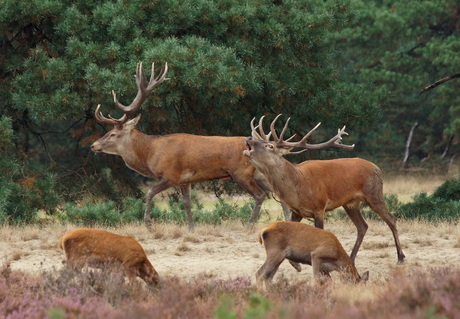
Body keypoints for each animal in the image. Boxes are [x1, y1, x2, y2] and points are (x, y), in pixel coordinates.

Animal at [244, 115, 406, 264]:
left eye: (270, 146)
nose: (248, 138)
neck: (297, 188)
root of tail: (377, 168)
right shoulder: (296, 211)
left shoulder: (319, 207)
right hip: (350, 203)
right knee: (362, 226)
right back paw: (351, 258)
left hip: (374, 192)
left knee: (391, 219)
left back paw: (400, 257)